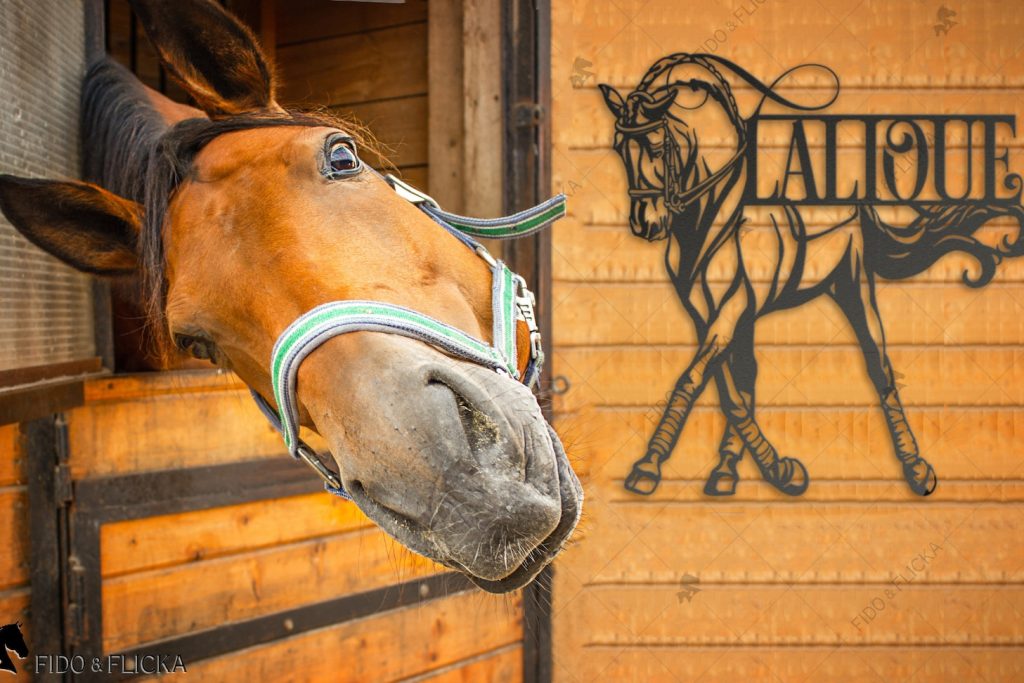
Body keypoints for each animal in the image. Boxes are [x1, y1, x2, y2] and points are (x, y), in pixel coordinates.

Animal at [599, 54, 1024, 497]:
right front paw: (779, 469)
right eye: (617, 148)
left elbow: (694, 379)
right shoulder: (706, 314)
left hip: (850, 282)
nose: (645, 225)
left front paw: (648, 467)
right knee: (749, 375)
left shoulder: (732, 306)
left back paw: (917, 469)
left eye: (656, 145)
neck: (710, 216)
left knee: (879, 364)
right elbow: (727, 390)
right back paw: (727, 471)